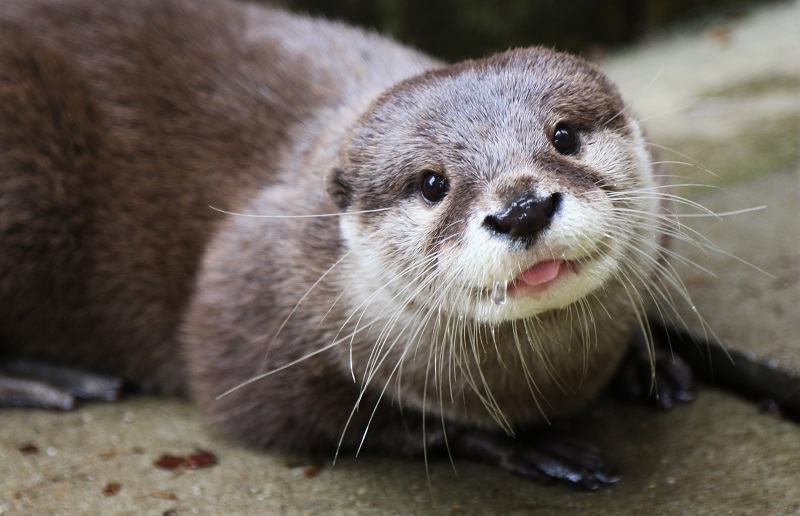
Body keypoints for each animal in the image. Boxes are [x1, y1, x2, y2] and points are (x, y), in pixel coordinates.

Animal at [0, 0, 692, 490]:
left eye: (565, 135)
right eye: (433, 183)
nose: (523, 208)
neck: (556, 381)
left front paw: (648, 357)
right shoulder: (243, 318)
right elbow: (342, 418)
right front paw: (523, 440)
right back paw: (49, 379)